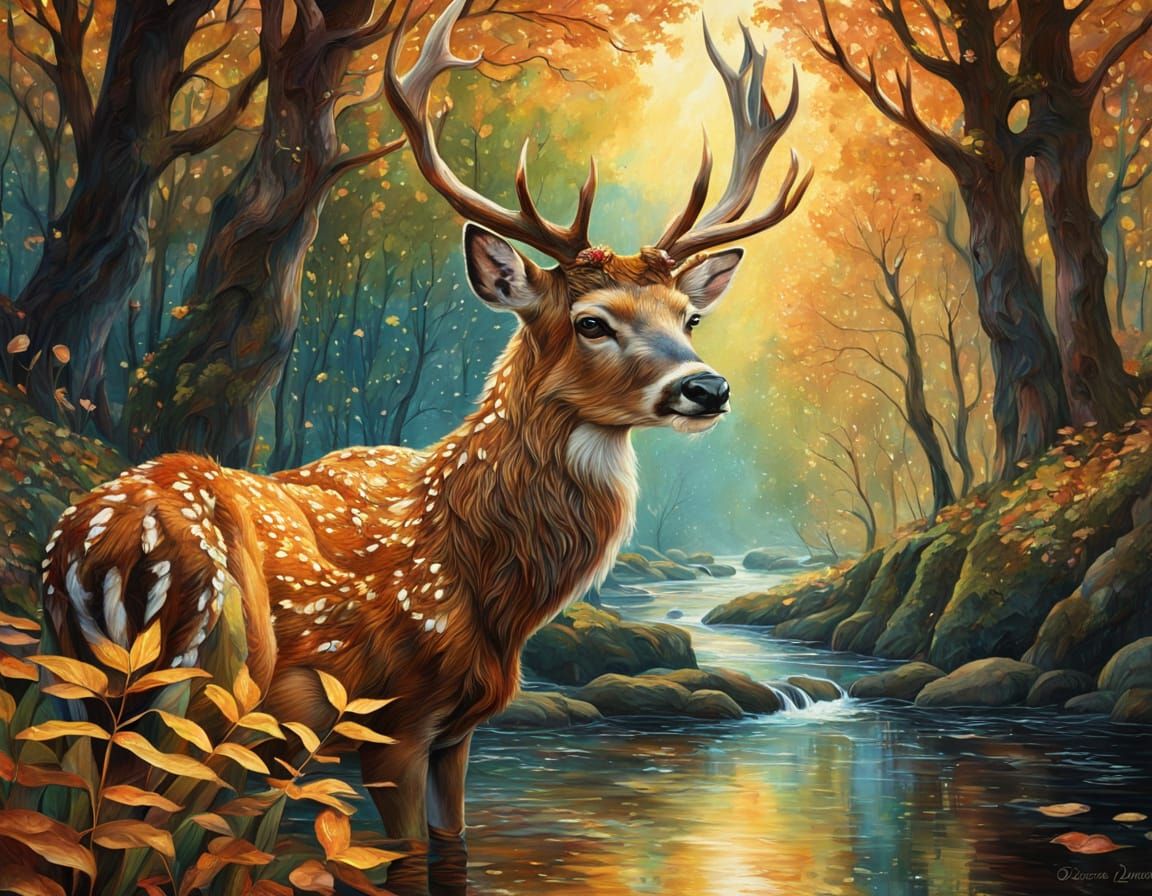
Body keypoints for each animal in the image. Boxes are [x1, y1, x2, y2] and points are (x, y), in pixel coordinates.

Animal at [40, 3, 809, 893]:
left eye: (689, 316)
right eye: (592, 322)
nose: (707, 388)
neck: (486, 578)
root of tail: (104, 549)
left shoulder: (459, 729)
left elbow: (455, 849)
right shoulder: (391, 718)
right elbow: (404, 862)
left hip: (84, 687)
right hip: (208, 685)